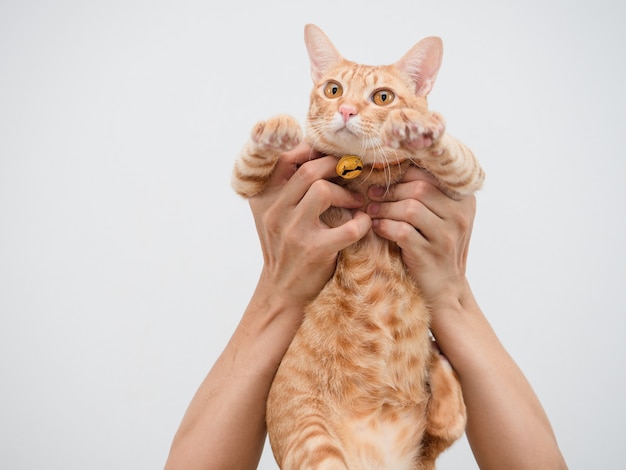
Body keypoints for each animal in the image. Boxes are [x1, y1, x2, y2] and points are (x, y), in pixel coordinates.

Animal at [232, 24, 480, 470]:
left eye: (383, 97)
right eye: (333, 90)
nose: (346, 110)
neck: (364, 173)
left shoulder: (462, 182)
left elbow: (456, 158)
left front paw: (420, 131)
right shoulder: (251, 184)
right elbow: (250, 163)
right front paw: (274, 130)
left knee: (444, 430)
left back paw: (441, 370)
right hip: (315, 443)